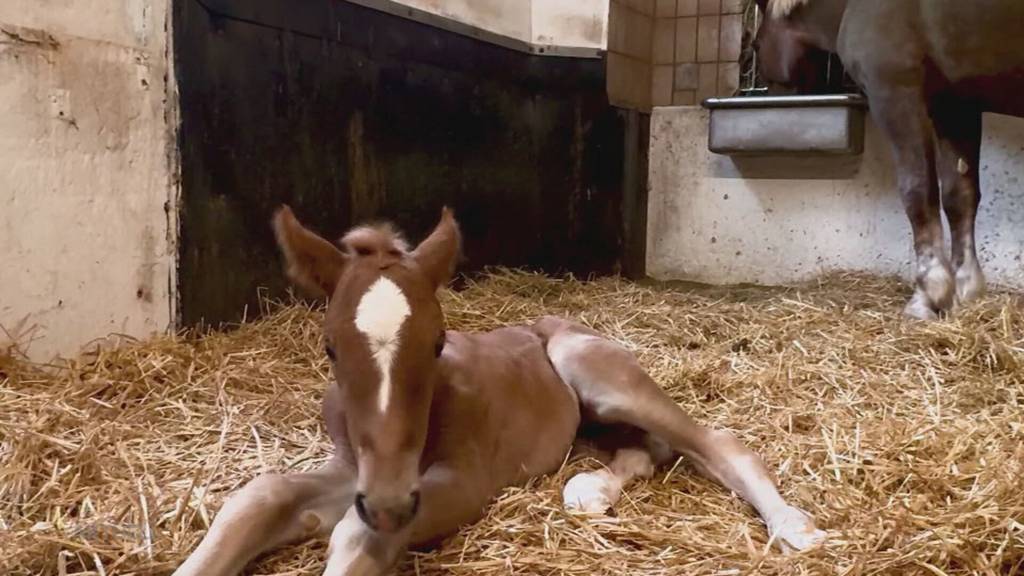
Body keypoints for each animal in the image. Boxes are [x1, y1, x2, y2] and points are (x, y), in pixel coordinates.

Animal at [172, 203, 827, 569]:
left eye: (438, 343)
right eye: (330, 347)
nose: (389, 503)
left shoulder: (461, 481)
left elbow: (357, 535)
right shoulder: (356, 469)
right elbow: (261, 496)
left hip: (593, 367)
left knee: (714, 443)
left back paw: (796, 527)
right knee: (645, 451)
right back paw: (590, 491)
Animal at [753, 0, 1024, 317]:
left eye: (756, 45)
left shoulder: (894, 94)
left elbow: (918, 192)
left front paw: (927, 295)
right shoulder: (956, 105)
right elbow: (960, 197)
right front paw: (965, 291)